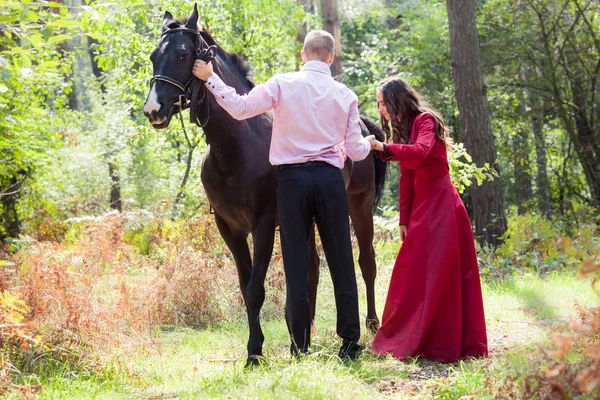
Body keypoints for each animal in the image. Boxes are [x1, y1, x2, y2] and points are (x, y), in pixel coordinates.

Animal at [143, 3, 386, 366]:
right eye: (153, 56)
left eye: (184, 54)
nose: (153, 109)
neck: (236, 145)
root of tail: (362, 125)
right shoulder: (229, 228)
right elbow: (247, 288)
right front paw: (260, 346)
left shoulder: (263, 225)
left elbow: (256, 288)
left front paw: (254, 352)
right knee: (313, 266)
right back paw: (305, 335)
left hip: (358, 207)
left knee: (365, 263)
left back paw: (370, 325)